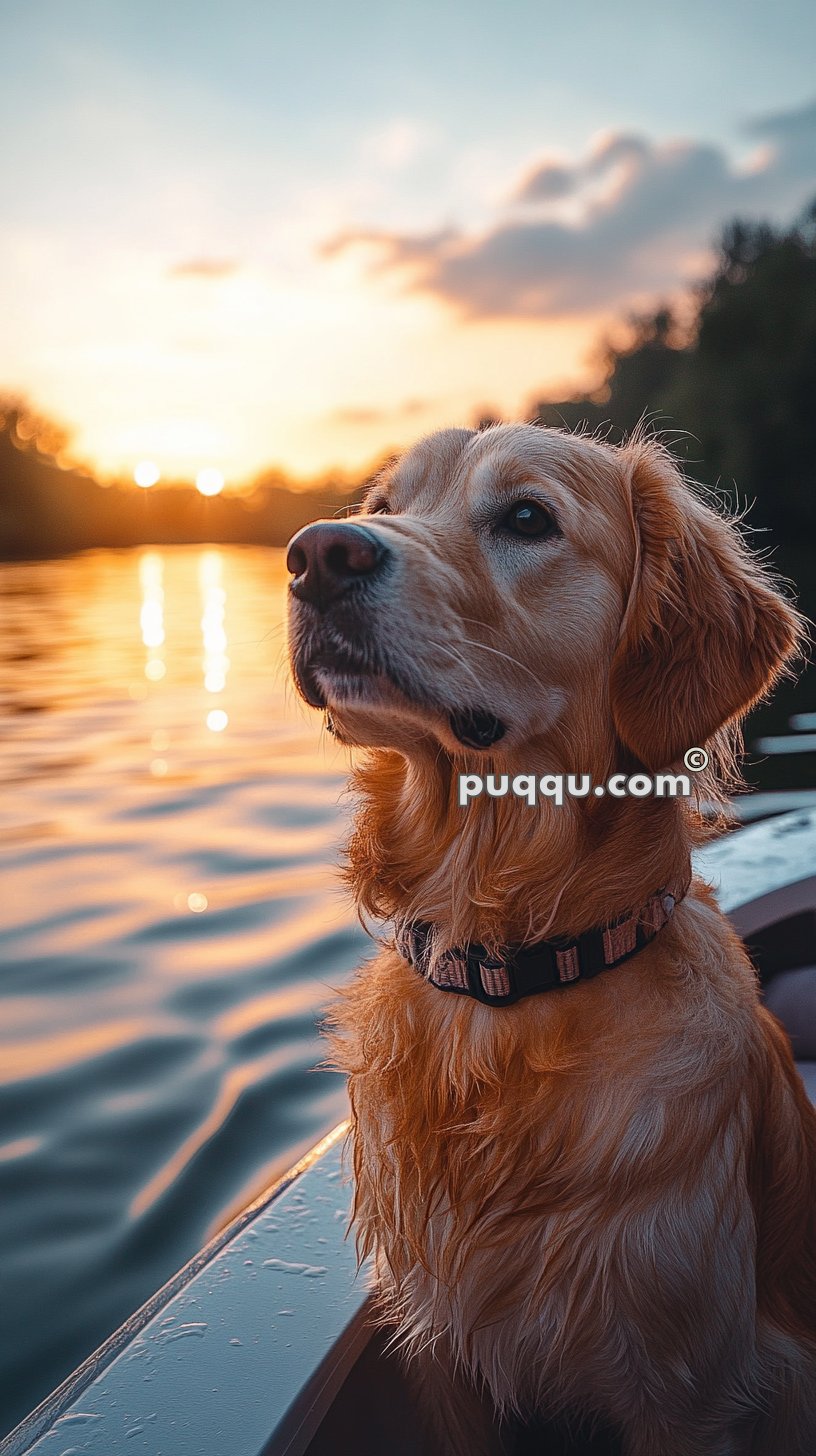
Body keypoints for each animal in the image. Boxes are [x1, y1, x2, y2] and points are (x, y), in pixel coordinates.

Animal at [285, 425, 816, 1456]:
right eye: (382, 510)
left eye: (528, 518)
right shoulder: (445, 1363)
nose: (317, 554)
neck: (507, 976)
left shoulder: (681, 1390)